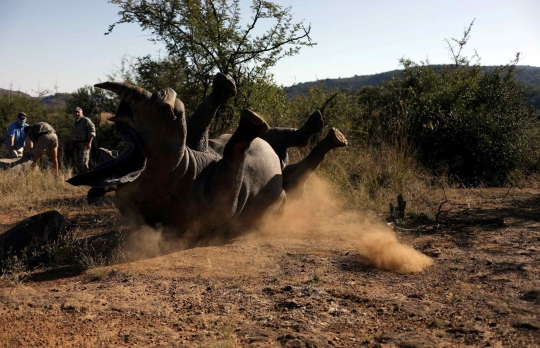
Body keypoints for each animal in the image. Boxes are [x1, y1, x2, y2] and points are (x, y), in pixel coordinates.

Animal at [67, 73, 346, 243]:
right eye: (169, 113)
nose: (165, 92)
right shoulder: (216, 206)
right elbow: (234, 158)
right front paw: (251, 122)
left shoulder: (197, 143)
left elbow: (201, 126)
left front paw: (226, 89)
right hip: (287, 193)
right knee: (293, 177)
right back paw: (331, 138)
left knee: (276, 142)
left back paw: (320, 126)